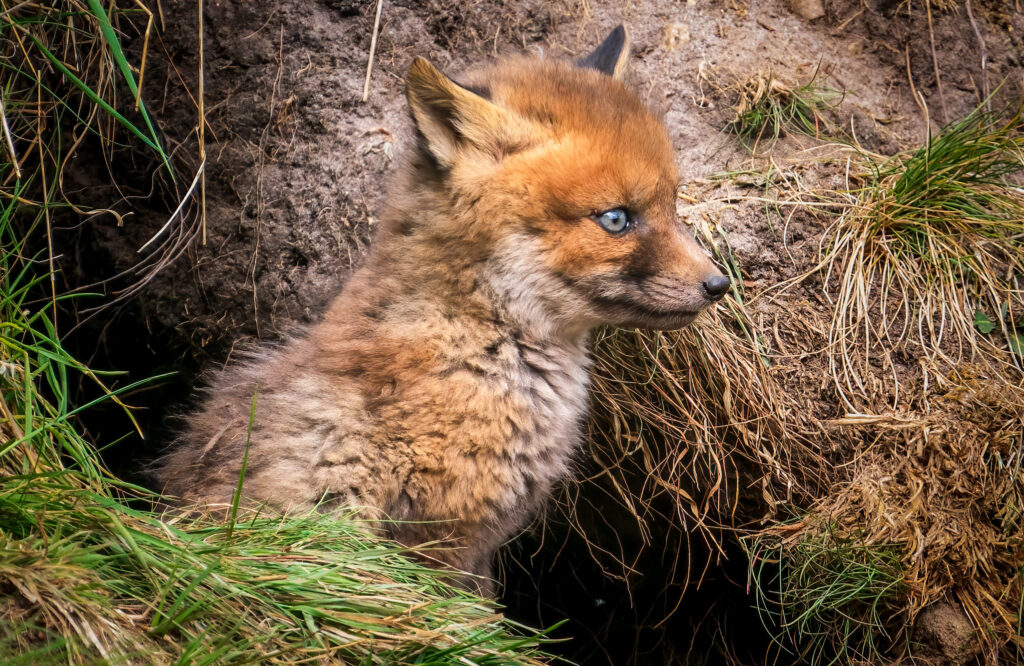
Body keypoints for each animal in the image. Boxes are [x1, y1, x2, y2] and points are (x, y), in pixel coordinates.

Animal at [155, 25, 724, 594]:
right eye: (615, 218)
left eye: (673, 202)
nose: (718, 283)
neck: (478, 346)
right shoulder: (440, 538)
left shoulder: (477, 547)